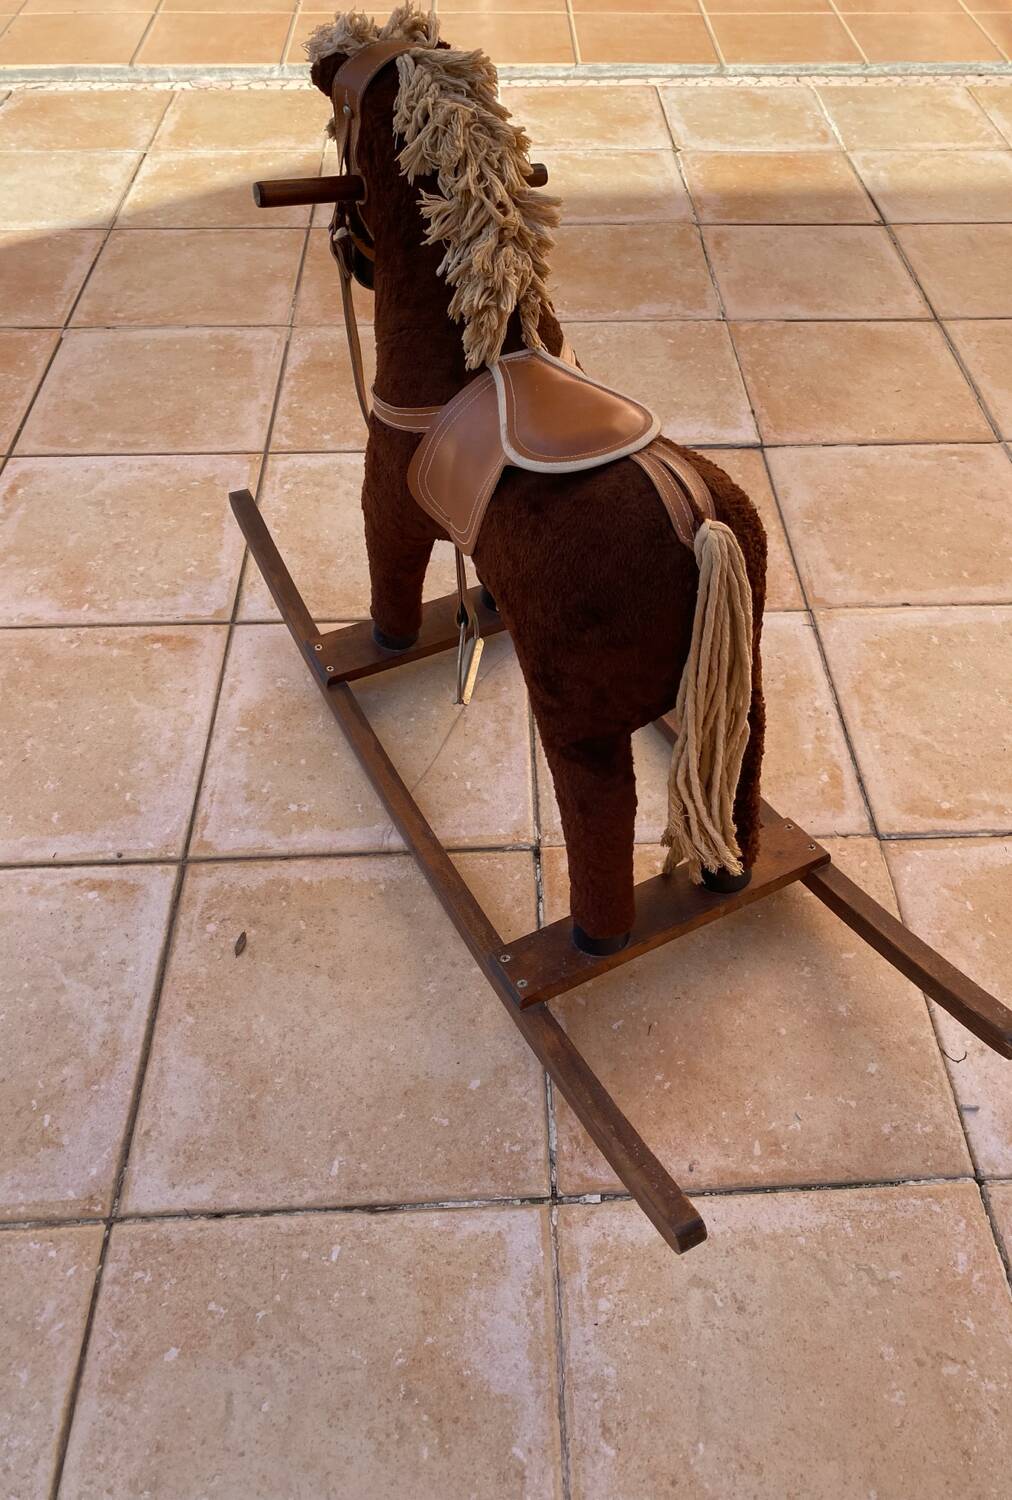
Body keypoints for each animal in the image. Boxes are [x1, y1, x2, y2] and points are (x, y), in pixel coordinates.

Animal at [305, 6, 768, 956]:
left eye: (338, 111)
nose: (348, 257)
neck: (469, 361)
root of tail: (701, 525)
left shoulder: (389, 510)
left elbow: (389, 598)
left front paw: (390, 644)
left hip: (577, 713)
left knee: (599, 815)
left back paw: (595, 938)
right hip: (743, 691)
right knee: (735, 780)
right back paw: (723, 879)